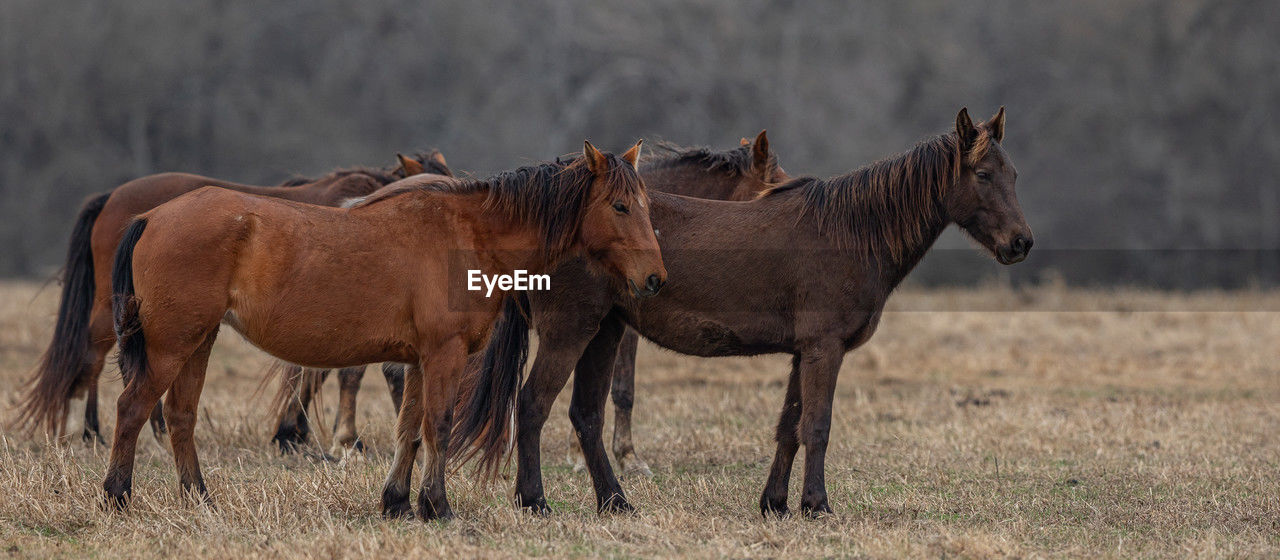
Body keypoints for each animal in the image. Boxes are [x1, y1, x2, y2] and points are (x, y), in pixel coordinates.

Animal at [8, 150, 450, 444]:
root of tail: (114, 197)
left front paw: (297, 433)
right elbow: (340, 373)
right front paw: (320, 437)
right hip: (115, 306)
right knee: (95, 354)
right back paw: (93, 432)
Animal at [104, 143, 665, 521]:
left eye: (646, 205)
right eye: (620, 206)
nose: (655, 279)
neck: (469, 233)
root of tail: (152, 216)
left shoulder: (418, 360)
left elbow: (408, 429)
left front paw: (398, 502)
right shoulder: (444, 354)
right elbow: (437, 425)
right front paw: (438, 506)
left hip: (198, 342)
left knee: (179, 416)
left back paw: (199, 498)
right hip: (172, 345)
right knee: (133, 408)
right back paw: (118, 495)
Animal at [455, 107, 1034, 519]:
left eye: (1014, 173)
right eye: (983, 174)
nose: (1021, 243)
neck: (851, 231)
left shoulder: (804, 352)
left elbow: (789, 427)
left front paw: (775, 504)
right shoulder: (824, 349)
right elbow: (817, 426)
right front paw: (817, 506)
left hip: (603, 333)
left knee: (585, 416)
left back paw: (616, 503)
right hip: (570, 331)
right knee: (532, 405)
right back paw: (535, 501)